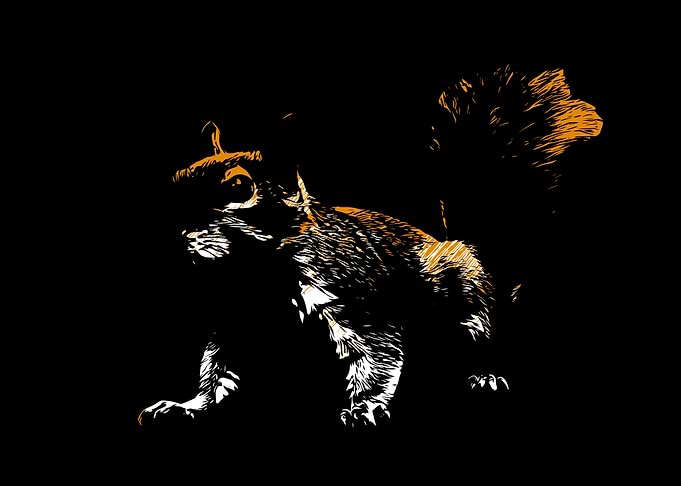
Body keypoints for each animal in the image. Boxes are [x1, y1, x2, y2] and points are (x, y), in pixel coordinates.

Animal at [138, 66, 602, 429]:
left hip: (466, 302)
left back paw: (484, 375)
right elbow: (216, 373)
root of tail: (474, 250)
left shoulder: (358, 301)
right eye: (177, 175)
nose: (168, 232)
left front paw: (364, 408)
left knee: (480, 335)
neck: (252, 275)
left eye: (239, 187)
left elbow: (379, 357)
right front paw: (186, 405)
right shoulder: (232, 321)